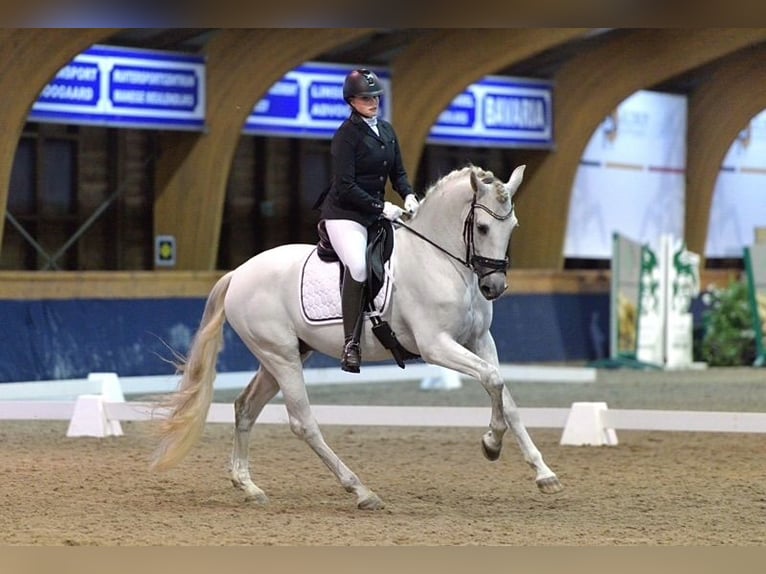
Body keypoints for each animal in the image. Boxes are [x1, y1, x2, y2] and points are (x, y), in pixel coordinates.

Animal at [150, 163, 563, 510]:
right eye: (482, 228)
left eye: (513, 228)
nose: (494, 287)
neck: (441, 261)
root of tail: (238, 273)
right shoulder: (435, 346)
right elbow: (492, 380)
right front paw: (491, 443)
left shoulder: (480, 340)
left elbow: (505, 395)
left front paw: (544, 474)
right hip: (281, 357)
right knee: (303, 422)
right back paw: (361, 491)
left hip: (284, 356)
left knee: (245, 407)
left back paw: (248, 486)